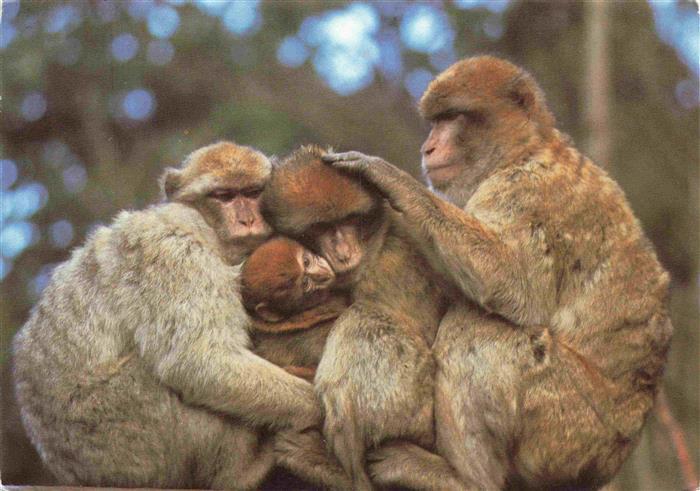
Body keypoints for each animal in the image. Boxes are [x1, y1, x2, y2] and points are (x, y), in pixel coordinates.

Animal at [322, 56, 673, 490]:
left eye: (453, 117)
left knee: (477, 328)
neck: (524, 149)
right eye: (435, 121)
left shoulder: (525, 192)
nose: (428, 147)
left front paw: (390, 178)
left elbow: (513, 284)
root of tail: (616, 452)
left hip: (565, 427)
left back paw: (465, 479)